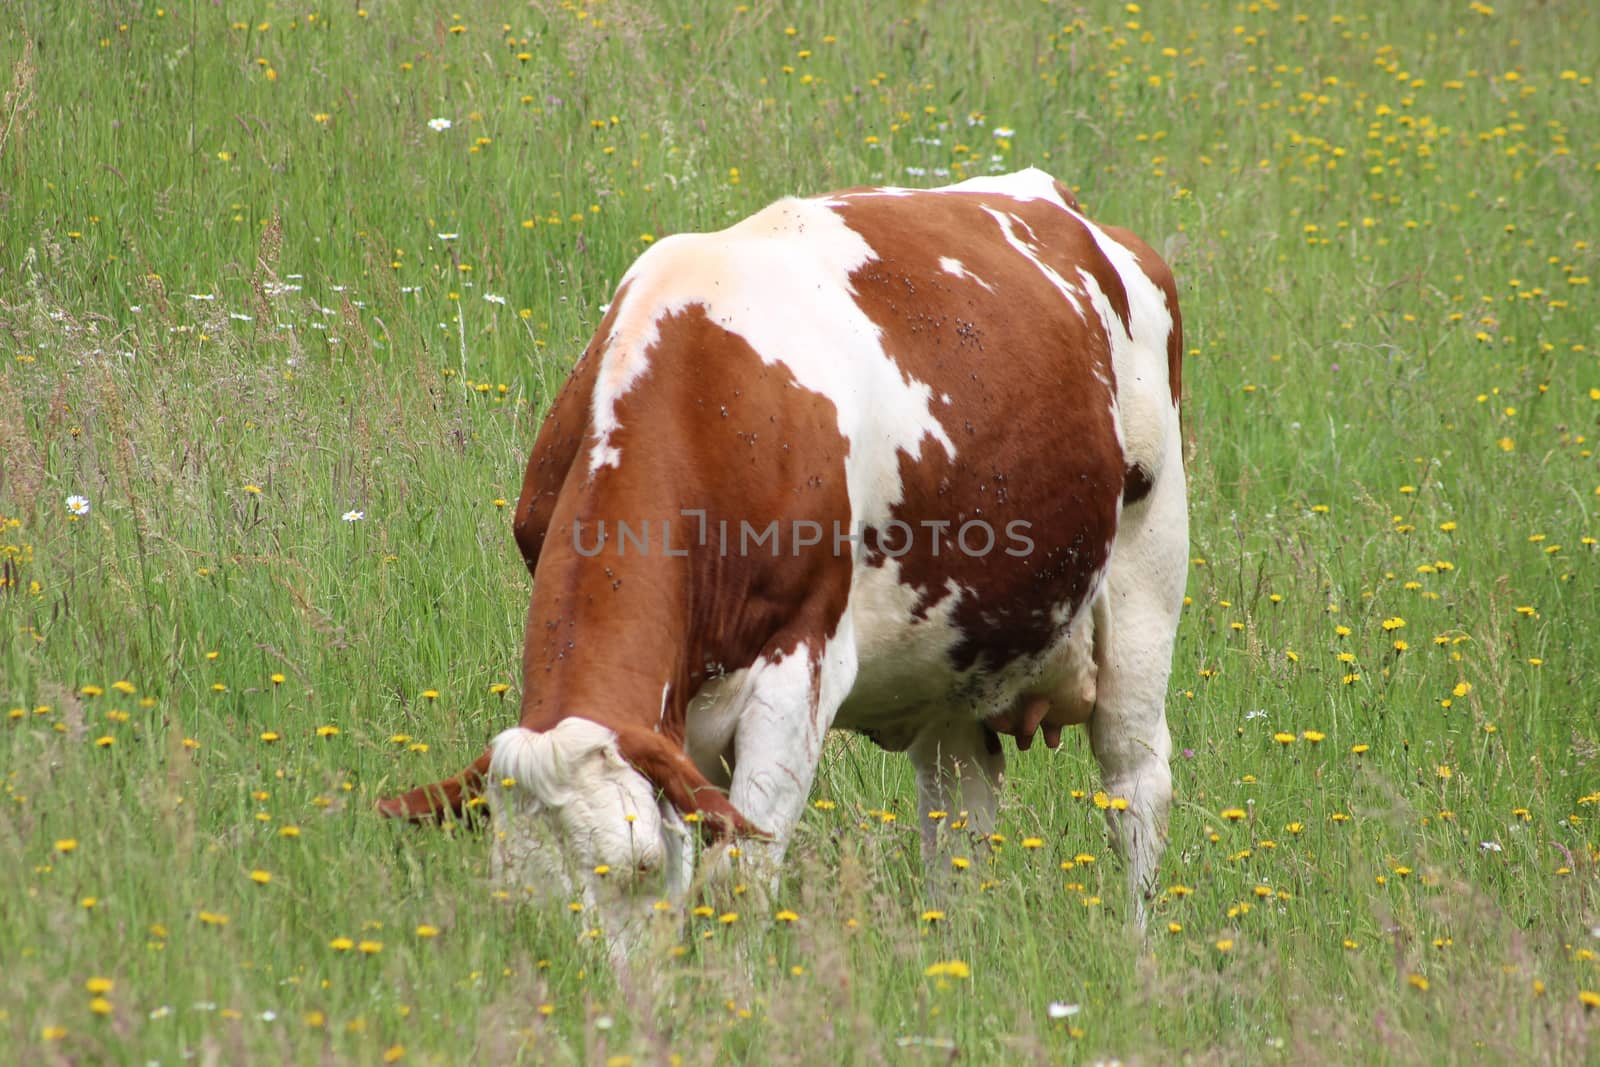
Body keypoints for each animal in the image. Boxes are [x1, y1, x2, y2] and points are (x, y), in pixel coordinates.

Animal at [380, 167, 1190, 953]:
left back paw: (1138, 949)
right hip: (957, 653)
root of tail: (1062, 204)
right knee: (959, 814)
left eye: (639, 865)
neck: (706, 403)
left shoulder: (799, 664)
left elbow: (737, 876)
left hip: (1147, 577)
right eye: (515, 893)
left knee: (1135, 784)